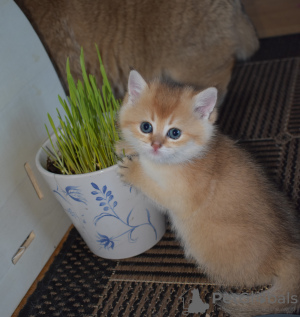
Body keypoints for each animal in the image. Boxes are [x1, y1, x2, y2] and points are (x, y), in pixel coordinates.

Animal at [116, 70, 300, 314]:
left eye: (174, 133)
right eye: (146, 127)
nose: (155, 145)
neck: (184, 157)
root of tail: (286, 250)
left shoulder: (181, 197)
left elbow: (153, 186)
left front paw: (133, 169)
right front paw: (124, 146)